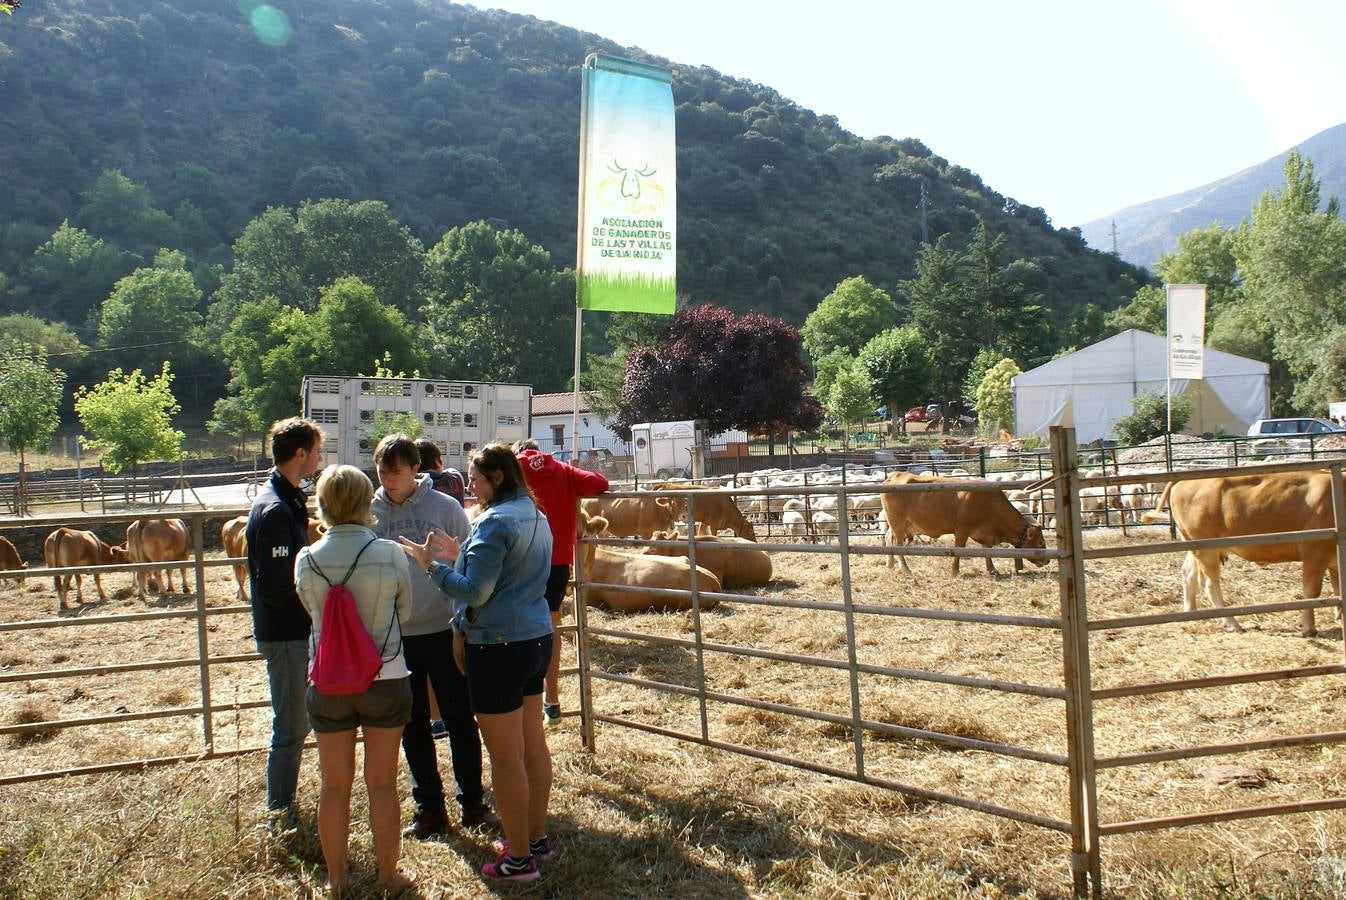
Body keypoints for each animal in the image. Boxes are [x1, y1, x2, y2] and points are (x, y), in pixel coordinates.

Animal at [877, 470, 1044, 575]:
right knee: (898, 544)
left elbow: (987, 552)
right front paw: (955, 570)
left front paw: (992, 569)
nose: (1047, 560)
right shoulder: (962, 530)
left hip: (898, 525)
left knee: (888, 539)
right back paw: (905, 569)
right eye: (1041, 542)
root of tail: (895, 476)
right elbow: (959, 549)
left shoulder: (985, 535)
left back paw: (890, 564)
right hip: (897, 523)